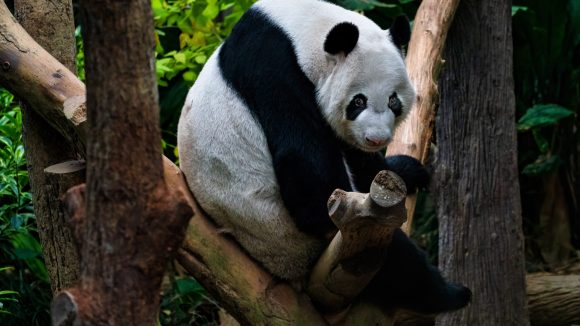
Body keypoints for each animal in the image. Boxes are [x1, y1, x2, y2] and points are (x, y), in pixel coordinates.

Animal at [178, 0, 472, 314]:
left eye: (394, 100)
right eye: (358, 101)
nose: (377, 139)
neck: (300, 29)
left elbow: (353, 153)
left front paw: (405, 170)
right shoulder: (273, 69)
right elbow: (311, 181)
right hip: (296, 239)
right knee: (394, 258)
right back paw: (448, 294)